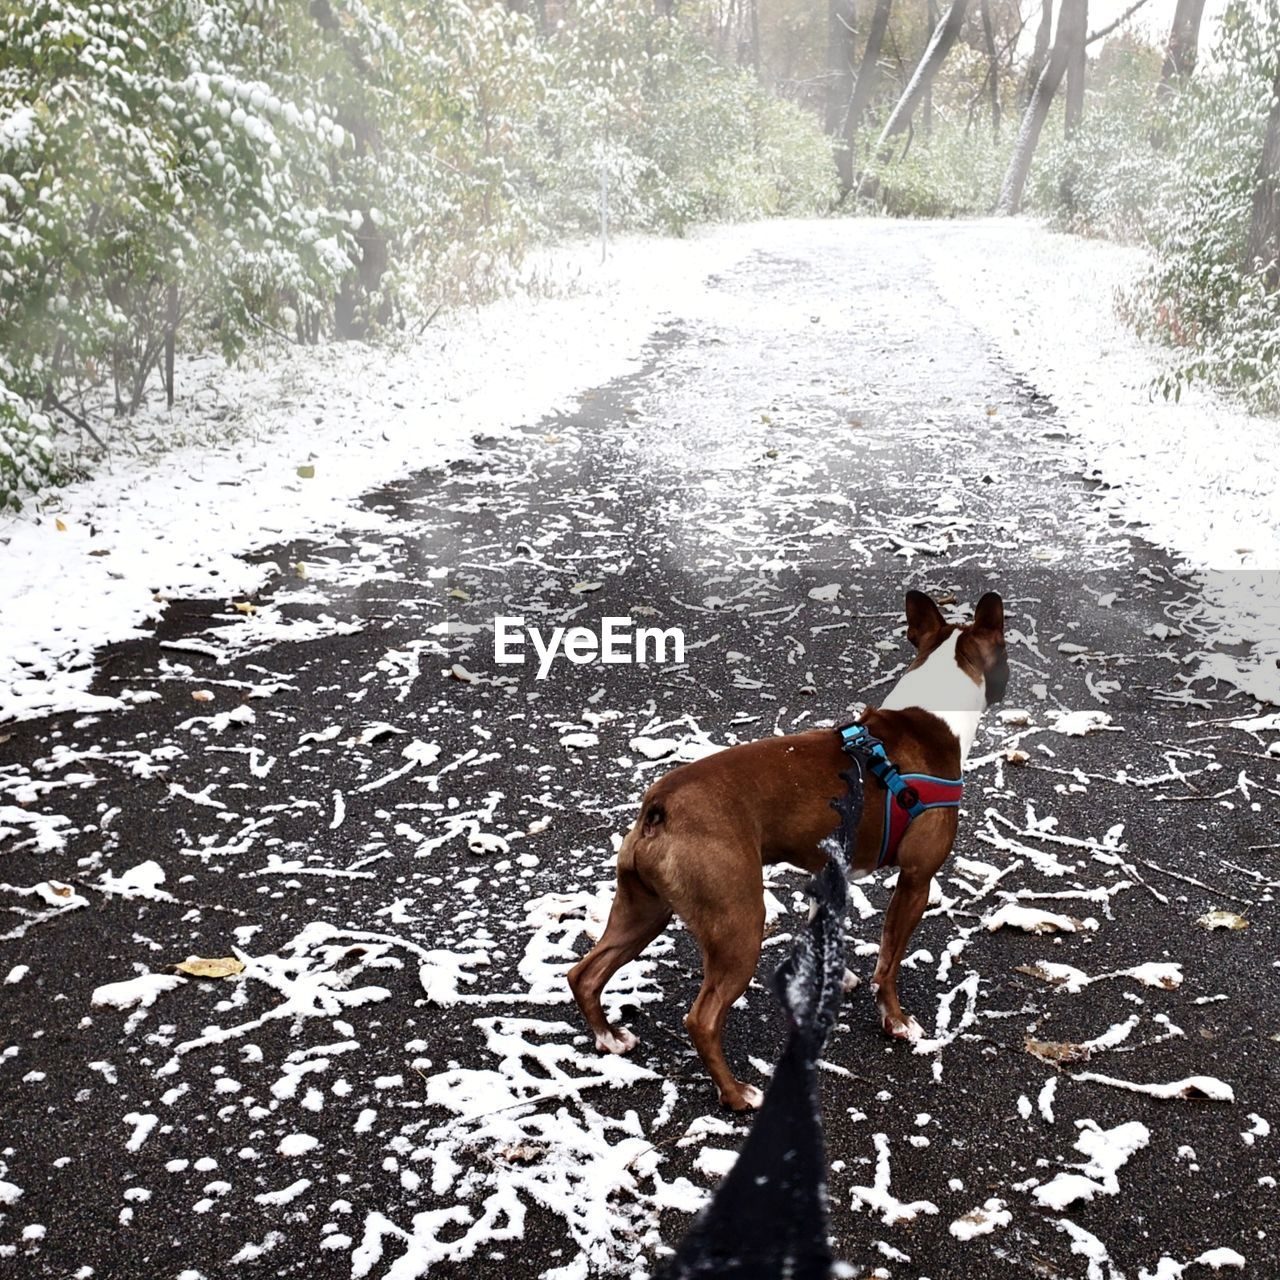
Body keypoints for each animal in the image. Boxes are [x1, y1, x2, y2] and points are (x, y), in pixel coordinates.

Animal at [570, 588, 1008, 1111]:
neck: (929, 719)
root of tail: (660, 806)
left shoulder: (829, 872)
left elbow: (826, 933)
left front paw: (835, 979)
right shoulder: (916, 881)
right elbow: (888, 962)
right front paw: (895, 1021)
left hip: (644, 909)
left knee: (586, 972)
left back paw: (609, 1038)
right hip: (738, 922)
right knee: (702, 1018)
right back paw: (736, 1094)